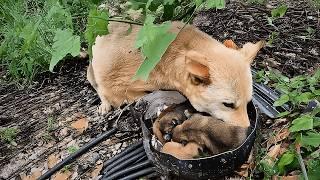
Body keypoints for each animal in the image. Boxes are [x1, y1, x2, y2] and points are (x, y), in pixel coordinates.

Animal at [87, 21, 264, 127]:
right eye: (228, 105)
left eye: (248, 102)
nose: (248, 130)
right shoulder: (119, 88)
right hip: (91, 71)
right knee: (98, 89)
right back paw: (104, 105)